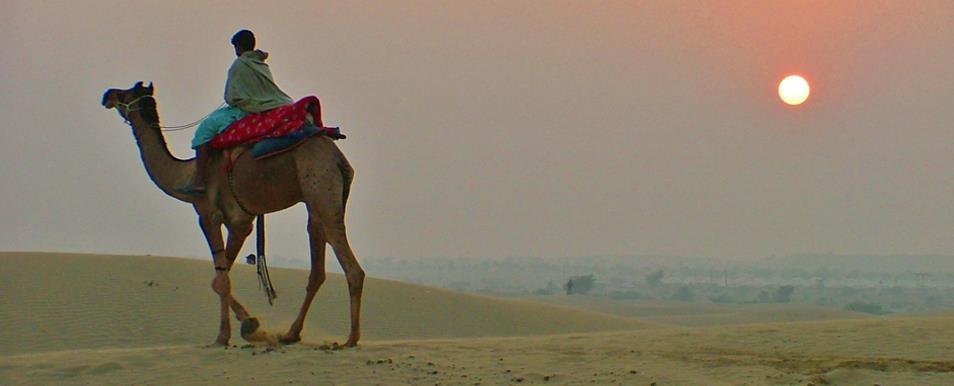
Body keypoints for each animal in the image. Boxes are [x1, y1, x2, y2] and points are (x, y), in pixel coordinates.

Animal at [102, 81, 364, 346]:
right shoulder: (240, 222)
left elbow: (220, 281)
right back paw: (291, 333)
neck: (184, 174)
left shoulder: (211, 216)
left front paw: (226, 335)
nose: (107, 95)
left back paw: (351, 339)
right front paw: (249, 324)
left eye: (126, 93)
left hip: (320, 184)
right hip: (316, 200)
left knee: (350, 264)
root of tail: (338, 158)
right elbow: (220, 277)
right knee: (317, 267)